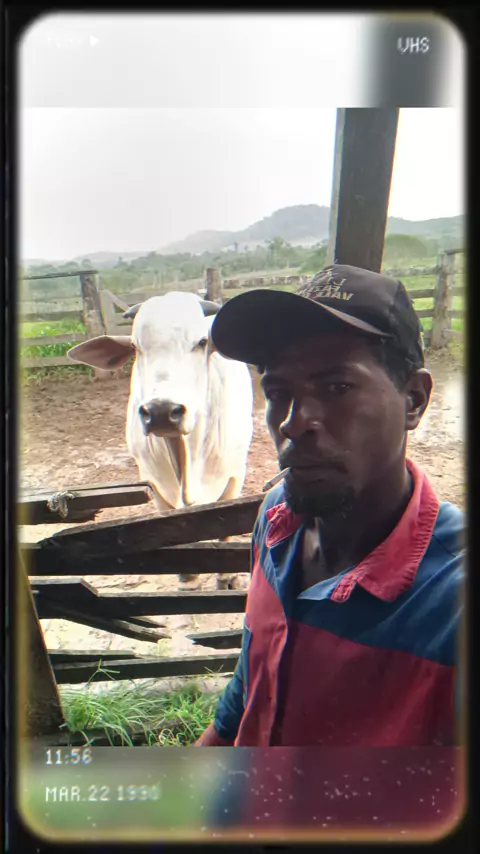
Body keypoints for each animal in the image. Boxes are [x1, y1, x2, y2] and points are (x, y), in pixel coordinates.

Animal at [67, 291, 254, 590]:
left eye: (202, 342)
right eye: (135, 347)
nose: (161, 411)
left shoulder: (235, 474)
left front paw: (226, 577)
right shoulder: (154, 483)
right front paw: (187, 575)